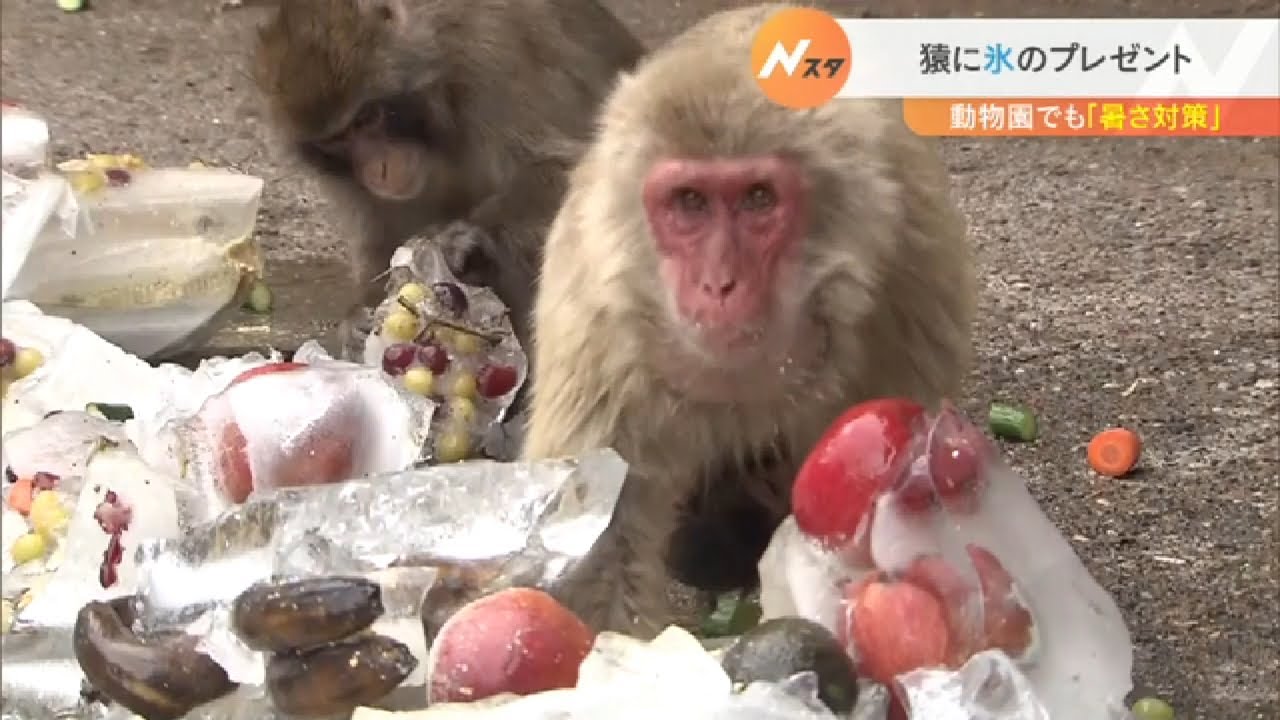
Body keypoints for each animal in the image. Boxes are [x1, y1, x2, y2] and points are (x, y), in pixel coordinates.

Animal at [249, 0, 646, 350]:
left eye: (368, 118)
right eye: (337, 139)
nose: (378, 170)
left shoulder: (493, 60)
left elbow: (577, 167)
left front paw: (457, 238)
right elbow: (377, 232)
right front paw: (359, 316)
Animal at [520, 3, 977, 637]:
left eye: (759, 197)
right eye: (689, 202)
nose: (719, 284)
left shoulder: (909, 279)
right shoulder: (596, 317)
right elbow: (600, 541)